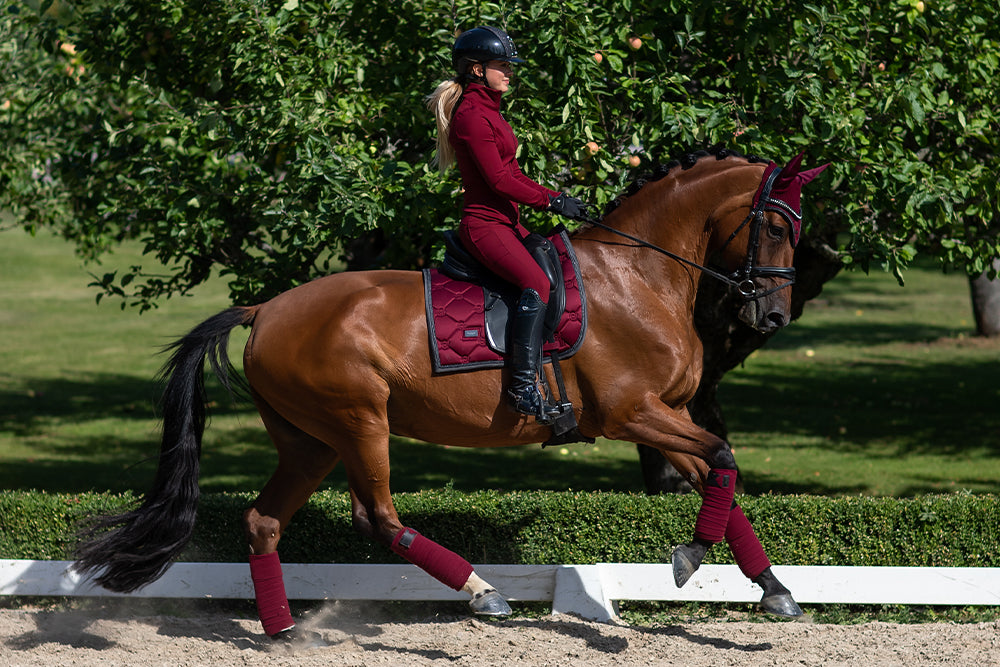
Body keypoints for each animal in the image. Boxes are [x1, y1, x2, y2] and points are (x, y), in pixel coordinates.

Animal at [76, 149, 828, 640]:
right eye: (775, 226)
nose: (772, 318)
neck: (639, 275)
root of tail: (265, 308)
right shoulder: (633, 413)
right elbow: (722, 458)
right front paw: (692, 557)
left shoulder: (663, 416)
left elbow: (718, 472)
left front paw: (770, 586)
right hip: (359, 422)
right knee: (378, 517)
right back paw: (484, 594)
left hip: (311, 441)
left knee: (265, 521)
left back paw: (284, 629)